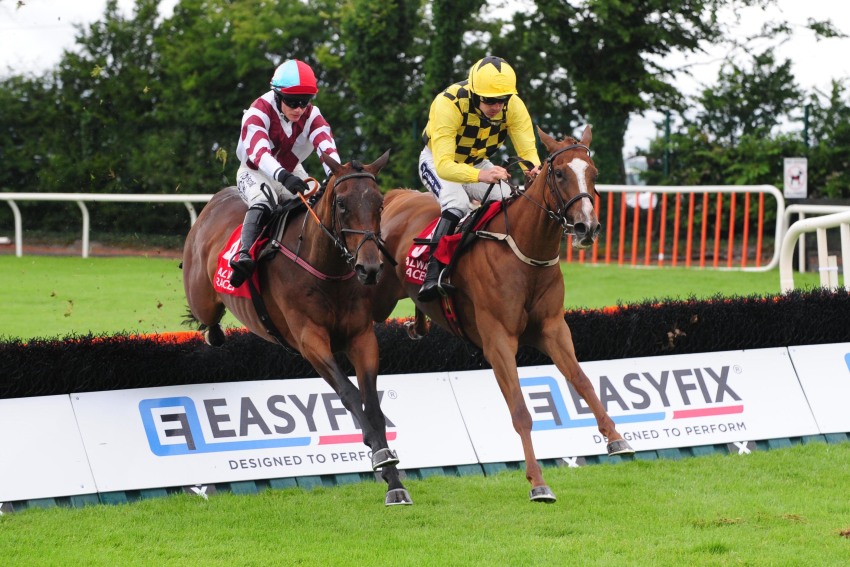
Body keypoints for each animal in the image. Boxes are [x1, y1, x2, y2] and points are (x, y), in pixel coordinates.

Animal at [183, 151, 414, 506]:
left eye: (379, 203)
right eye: (342, 204)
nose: (370, 268)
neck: (326, 268)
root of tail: (214, 202)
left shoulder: (361, 338)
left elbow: (371, 401)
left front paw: (393, 477)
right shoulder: (310, 341)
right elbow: (349, 393)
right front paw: (379, 456)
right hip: (202, 297)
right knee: (209, 324)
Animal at [370, 126, 628, 504]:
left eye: (593, 174)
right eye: (560, 173)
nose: (587, 227)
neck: (526, 252)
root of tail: (398, 196)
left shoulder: (553, 329)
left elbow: (581, 380)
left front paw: (615, 437)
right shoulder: (498, 341)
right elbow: (520, 410)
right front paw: (538, 482)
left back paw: (416, 324)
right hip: (376, 294)